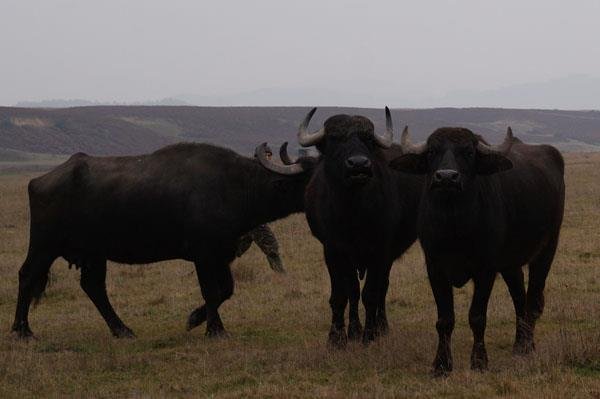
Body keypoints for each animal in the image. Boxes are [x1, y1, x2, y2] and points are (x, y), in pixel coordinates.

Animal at [12, 142, 314, 340]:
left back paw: (122, 329)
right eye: (311, 176)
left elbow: (227, 290)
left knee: (93, 287)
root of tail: (40, 180)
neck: (236, 186)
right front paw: (214, 329)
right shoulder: (204, 256)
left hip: (94, 254)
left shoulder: (221, 255)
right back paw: (22, 330)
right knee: (27, 276)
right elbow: (212, 291)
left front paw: (196, 318)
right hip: (44, 245)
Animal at [392, 127, 564, 376]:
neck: (454, 225)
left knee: (532, 301)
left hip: (547, 249)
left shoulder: (486, 270)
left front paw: (479, 362)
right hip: (510, 264)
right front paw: (441, 365)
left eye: (469, 152)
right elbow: (444, 319)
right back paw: (518, 344)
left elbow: (477, 316)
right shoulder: (435, 268)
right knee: (519, 299)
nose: (447, 177)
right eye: (432, 151)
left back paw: (527, 346)